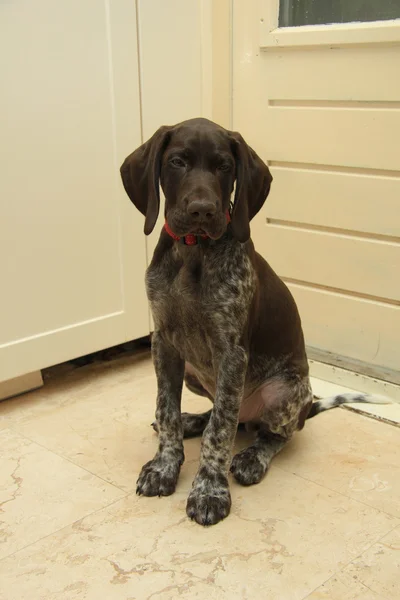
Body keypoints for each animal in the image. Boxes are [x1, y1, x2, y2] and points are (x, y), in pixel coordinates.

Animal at [121, 119, 388, 528]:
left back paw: (251, 458)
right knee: (220, 413)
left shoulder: (232, 353)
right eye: (177, 162)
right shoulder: (164, 343)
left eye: (224, 166)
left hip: (286, 392)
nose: (202, 211)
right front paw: (165, 466)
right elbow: (165, 410)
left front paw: (209, 491)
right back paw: (192, 421)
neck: (194, 251)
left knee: (271, 433)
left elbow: (220, 431)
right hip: (194, 373)